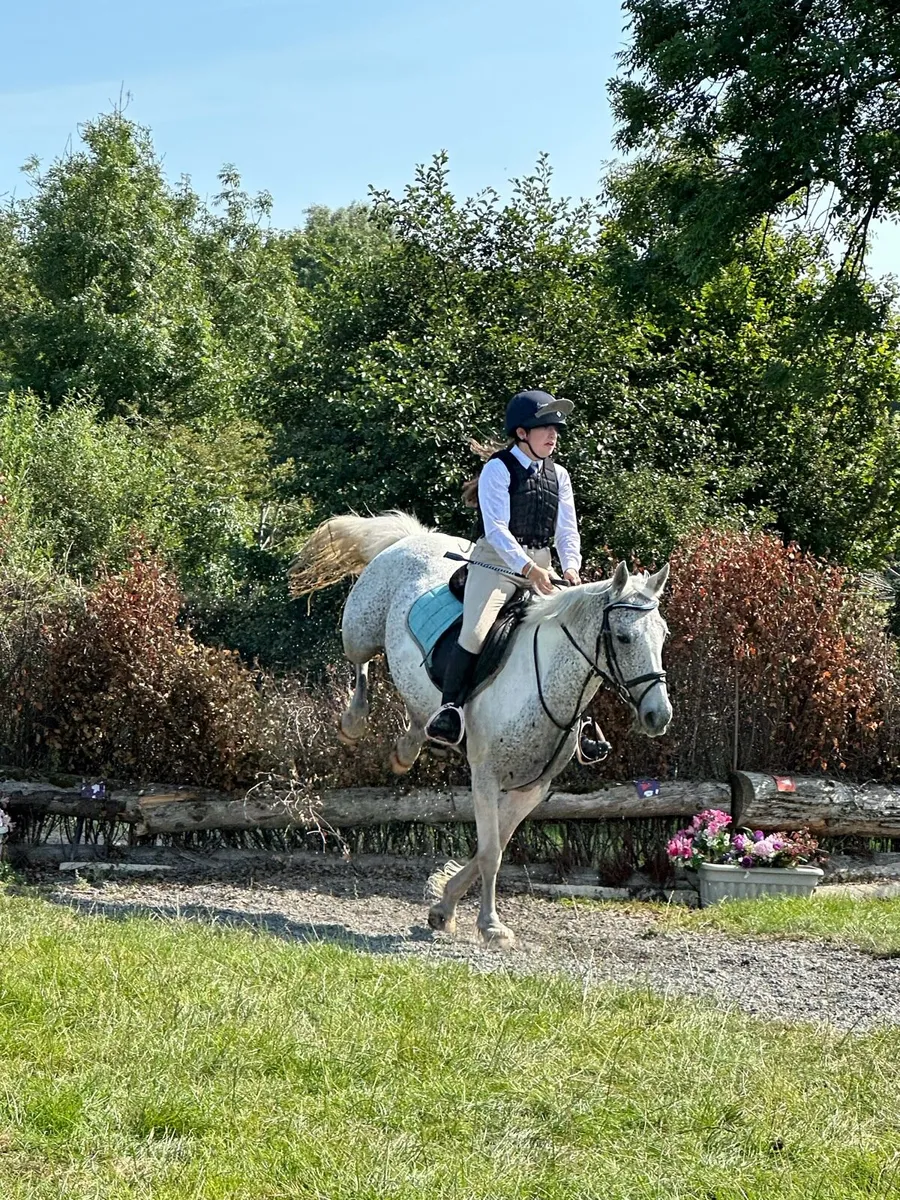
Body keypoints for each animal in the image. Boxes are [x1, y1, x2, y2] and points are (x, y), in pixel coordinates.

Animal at [290, 510, 672, 947]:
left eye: (663, 635)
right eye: (623, 637)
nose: (659, 716)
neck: (541, 682)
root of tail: (412, 538)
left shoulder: (531, 789)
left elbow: (494, 846)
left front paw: (443, 906)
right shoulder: (485, 777)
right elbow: (491, 854)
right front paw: (490, 925)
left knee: (419, 716)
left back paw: (409, 748)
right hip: (361, 631)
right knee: (360, 664)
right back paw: (354, 722)